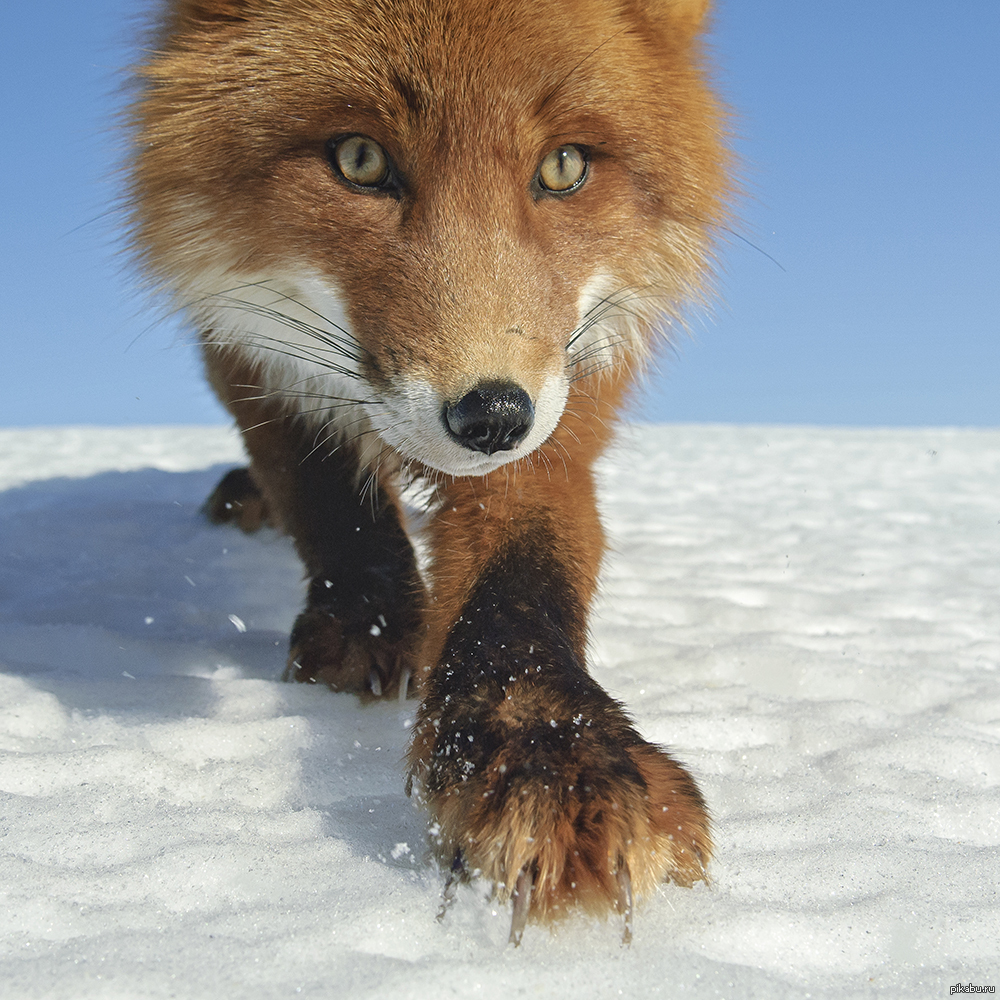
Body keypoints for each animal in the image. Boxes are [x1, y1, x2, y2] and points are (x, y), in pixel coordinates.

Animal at [129, 0, 732, 944]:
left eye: (564, 167)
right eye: (360, 159)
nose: (490, 416)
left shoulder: (563, 398)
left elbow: (523, 580)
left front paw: (547, 746)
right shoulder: (244, 345)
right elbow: (325, 492)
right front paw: (366, 622)